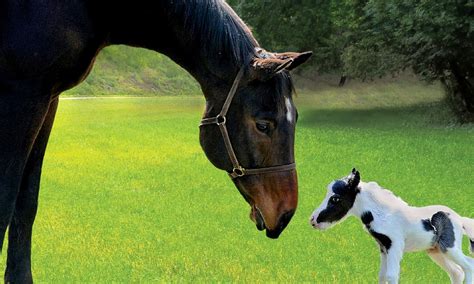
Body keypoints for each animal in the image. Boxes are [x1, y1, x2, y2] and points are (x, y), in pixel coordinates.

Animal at [0, 0, 312, 282]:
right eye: (263, 125)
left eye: (295, 116)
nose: (285, 213)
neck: (89, 7)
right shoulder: (24, 97)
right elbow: (6, 203)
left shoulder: (48, 100)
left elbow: (25, 204)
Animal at [310, 170, 472, 282]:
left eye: (335, 198)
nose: (313, 220)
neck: (384, 214)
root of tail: (460, 219)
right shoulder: (383, 247)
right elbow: (382, 275)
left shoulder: (395, 245)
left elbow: (391, 275)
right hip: (436, 250)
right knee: (457, 272)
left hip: (449, 247)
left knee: (468, 265)